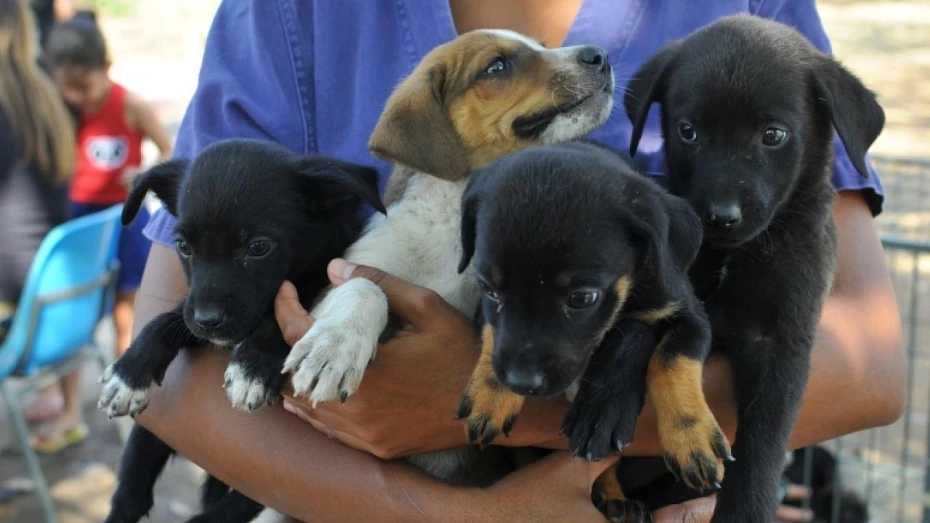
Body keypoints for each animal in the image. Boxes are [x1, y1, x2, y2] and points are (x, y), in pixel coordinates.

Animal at [96, 139, 382, 523]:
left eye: (258, 247)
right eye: (183, 247)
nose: (208, 320)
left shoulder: (316, 280)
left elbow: (280, 313)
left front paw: (253, 366)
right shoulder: (195, 308)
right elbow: (166, 320)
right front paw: (129, 373)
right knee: (132, 486)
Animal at [282, 30, 616, 486]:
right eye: (496, 66)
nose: (601, 55)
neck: (453, 212)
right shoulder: (343, 276)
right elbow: (365, 284)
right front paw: (333, 346)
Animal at [454, 141, 728, 520]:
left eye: (582, 298)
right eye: (490, 290)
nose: (521, 382)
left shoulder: (690, 316)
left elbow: (671, 359)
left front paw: (691, 436)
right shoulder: (486, 311)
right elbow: (496, 336)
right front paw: (492, 394)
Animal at [620, 14, 880, 520]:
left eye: (773, 134)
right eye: (687, 130)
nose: (720, 216)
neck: (733, 256)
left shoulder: (782, 343)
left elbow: (762, 444)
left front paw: (746, 508)